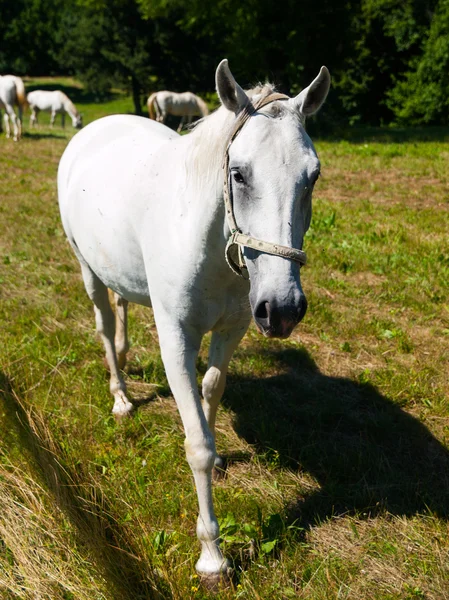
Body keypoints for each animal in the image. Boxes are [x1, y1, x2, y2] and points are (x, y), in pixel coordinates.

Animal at [57, 59, 328, 580]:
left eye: (314, 176)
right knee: (103, 324)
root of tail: (94, 129)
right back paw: (121, 396)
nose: (283, 308)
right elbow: (195, 445)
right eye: (239, 174)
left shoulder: (231, 330)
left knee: (121, 307)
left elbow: (211, 391)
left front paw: (220, 452)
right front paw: (212, 555)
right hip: (86, 268)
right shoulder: (177, 340)